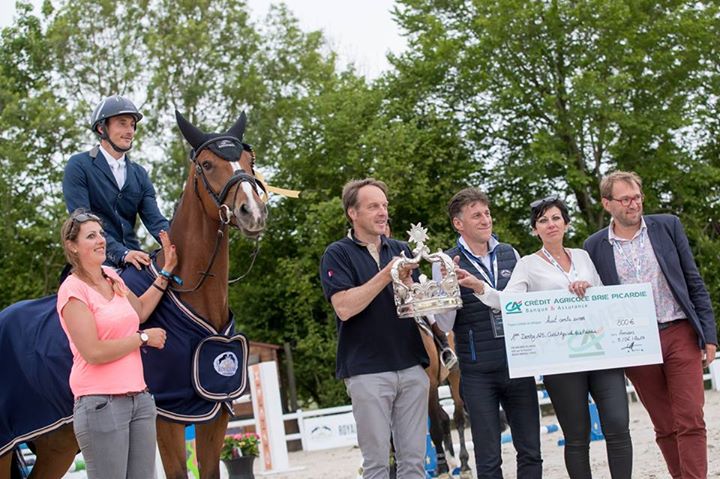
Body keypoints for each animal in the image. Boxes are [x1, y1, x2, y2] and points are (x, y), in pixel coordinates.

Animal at [0, 109, 268, 479]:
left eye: (248, 160)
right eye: (208, 164)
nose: (252, 213)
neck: (188, 294)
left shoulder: (214, 413)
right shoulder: (167, 417)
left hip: (58, 441)